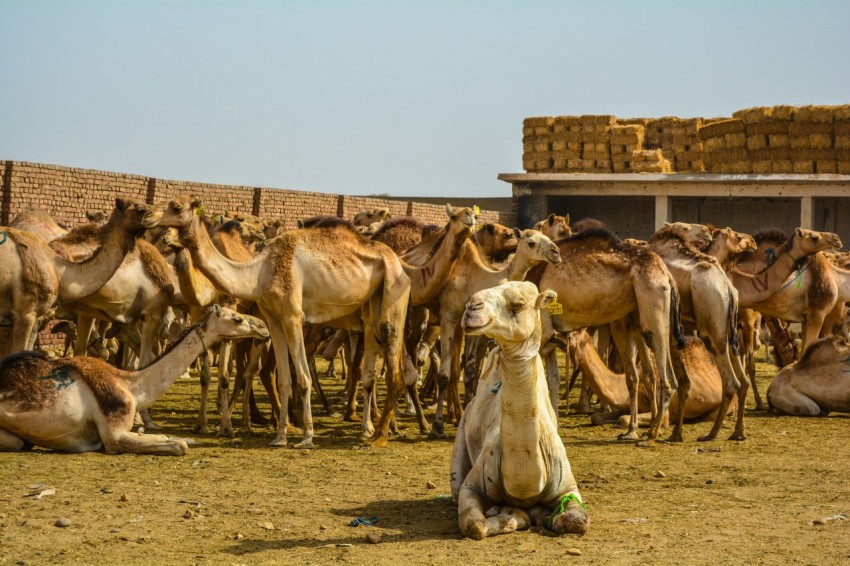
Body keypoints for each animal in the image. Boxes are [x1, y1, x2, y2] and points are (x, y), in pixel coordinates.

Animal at [0, 306, 268, 455]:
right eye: (236, 319)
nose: (263, 327)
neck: (131, 385)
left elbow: (169, 438)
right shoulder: (114, 434)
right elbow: (178, 445)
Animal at [146, 196, 411, 448]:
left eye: (176, 207)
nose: (148, 216)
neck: (258, 271)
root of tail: (399, 264)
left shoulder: (293, 316)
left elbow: (302, 377)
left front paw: (307, 437)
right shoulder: (273, 320)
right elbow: (283, 378)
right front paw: (280, 436)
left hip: (394, 293)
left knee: (393, 366)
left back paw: (380, 436)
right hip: (371, 309)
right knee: (371, 373)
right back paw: (369, 430)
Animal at [429, 229, 562, 437]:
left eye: (548, 238)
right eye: (531, 242)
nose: (556, 253)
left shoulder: (474, 330)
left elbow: (471, 371)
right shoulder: (448, 318)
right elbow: (444, 376)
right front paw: (437, 425)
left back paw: (455, 414)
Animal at [450, 281, 588, 539]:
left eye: (519, 304)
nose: (472, 307)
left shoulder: (568, 486)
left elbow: (577, 520)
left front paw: (543, 516)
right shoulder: (471, 485)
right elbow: (473, 525)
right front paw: (513, 516)